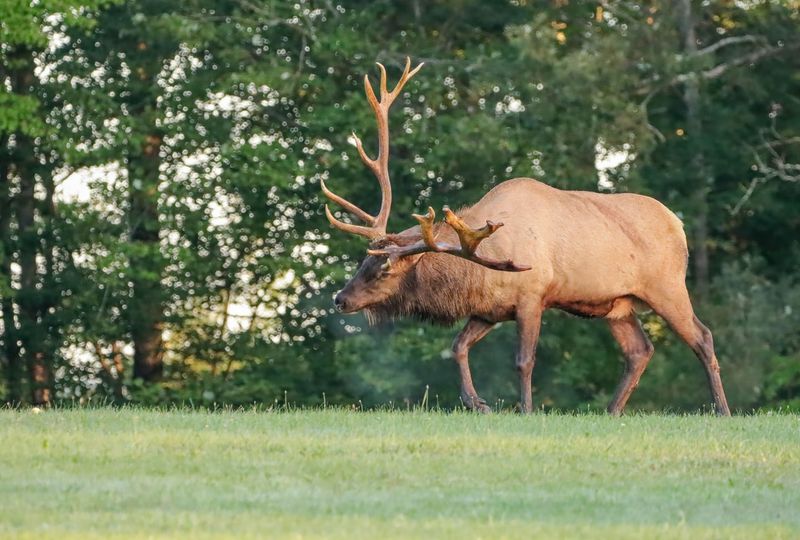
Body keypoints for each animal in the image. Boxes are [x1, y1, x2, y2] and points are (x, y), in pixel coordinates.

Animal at [324, 57, 732, 416]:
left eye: (385, 269)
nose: (340, 299)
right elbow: (457, 347)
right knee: (639, 350)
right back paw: (612, 410)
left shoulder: (532, 296)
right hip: (618, 303)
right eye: (364, 260)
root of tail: (678, 225)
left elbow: (523, 360)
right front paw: (477, 403)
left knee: (703, 337)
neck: (478, 268)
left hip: (667, 286)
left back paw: (722, 410)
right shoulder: (488, 310)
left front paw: (526, 408)